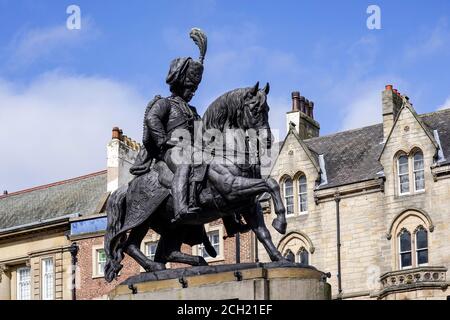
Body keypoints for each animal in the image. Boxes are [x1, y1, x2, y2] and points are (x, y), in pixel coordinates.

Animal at [103, 82, 288, 282]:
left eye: (267, 109)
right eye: (255, 109)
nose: (268, 140)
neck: (226, 153)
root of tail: (128, 186)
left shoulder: (249, 203)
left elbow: (263, 232)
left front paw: (280, 257)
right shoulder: (232, 189)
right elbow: (271, 184)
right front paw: (280, 222)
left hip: (175, 226)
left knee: (167, 252)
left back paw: (196, 262)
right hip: (142, 216)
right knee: (130, 246)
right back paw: (155, 266)